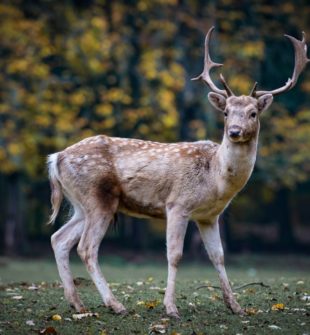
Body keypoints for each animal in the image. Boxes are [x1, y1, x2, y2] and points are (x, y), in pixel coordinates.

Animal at [47, 27, 308, 318]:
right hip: (98, 198)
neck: (215, 179)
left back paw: (77, 303)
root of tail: (56, 158)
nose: (234, 131)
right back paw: (115, 304)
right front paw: (171, 308)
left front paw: (236, 306)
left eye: (253, 113)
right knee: (86, 248)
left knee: (59, 238)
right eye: (226, 112)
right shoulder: (177, 205)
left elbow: (218, 256)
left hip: (81, 204)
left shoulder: (209, 216)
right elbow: (175, 255)